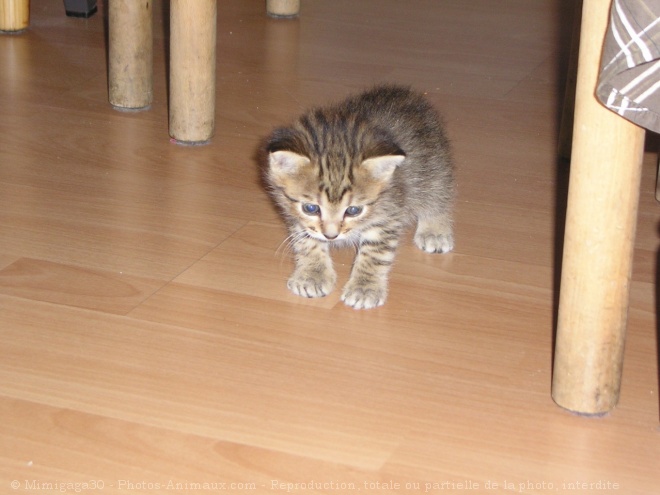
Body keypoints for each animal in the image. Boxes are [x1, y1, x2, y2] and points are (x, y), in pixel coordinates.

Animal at [262, 85, 454, 310]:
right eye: (311, 208)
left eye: (353, 210)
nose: (331, 236)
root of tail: (409, 95)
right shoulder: (296, 215)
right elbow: (307, 241)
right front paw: (312, 275)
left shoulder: (389, 212)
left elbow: (375, 253)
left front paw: (365, 288)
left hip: (432, 167)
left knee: (438, 193)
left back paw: (434, 230)